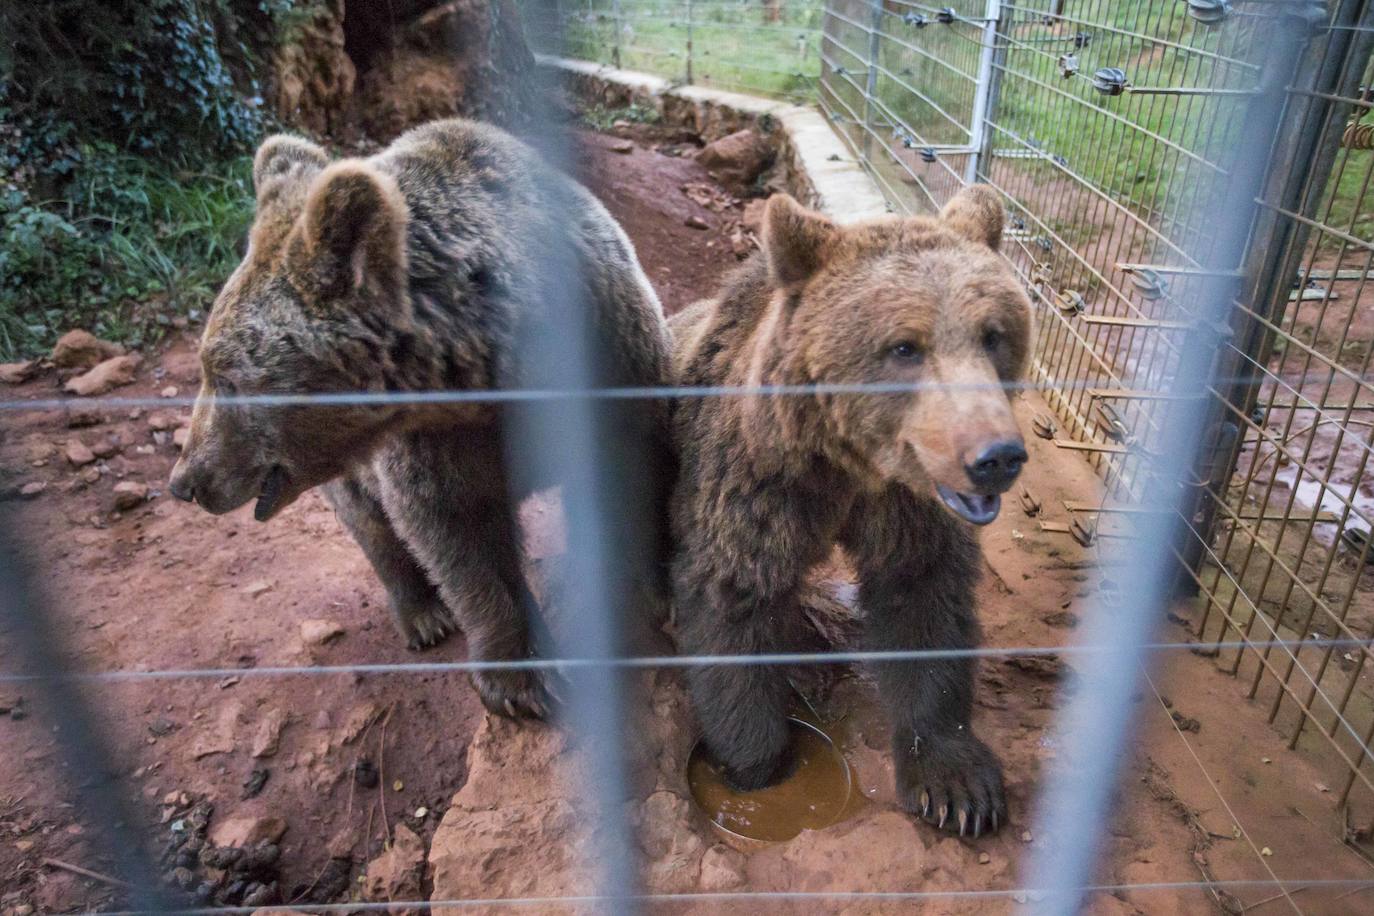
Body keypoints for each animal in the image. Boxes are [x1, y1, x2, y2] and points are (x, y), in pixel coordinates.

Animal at [169, 121, 673, 719]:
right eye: (207, 367)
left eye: (224, 378)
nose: (186, 480)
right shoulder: (433, 440)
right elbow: (457, 533)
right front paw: (524, 681)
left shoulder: (615, 359)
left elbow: (630, 476)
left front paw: (648, 594)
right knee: (372, 524)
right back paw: (423, 616)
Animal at [665, 186, 1033, 840]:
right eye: (905, 346)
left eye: (994, 334)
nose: (996, 457)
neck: (847, 466)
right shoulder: (755, 481)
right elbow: (732, 600)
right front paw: (759, 773)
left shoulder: (907, 505)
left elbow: (923, 598)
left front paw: (956, 786)